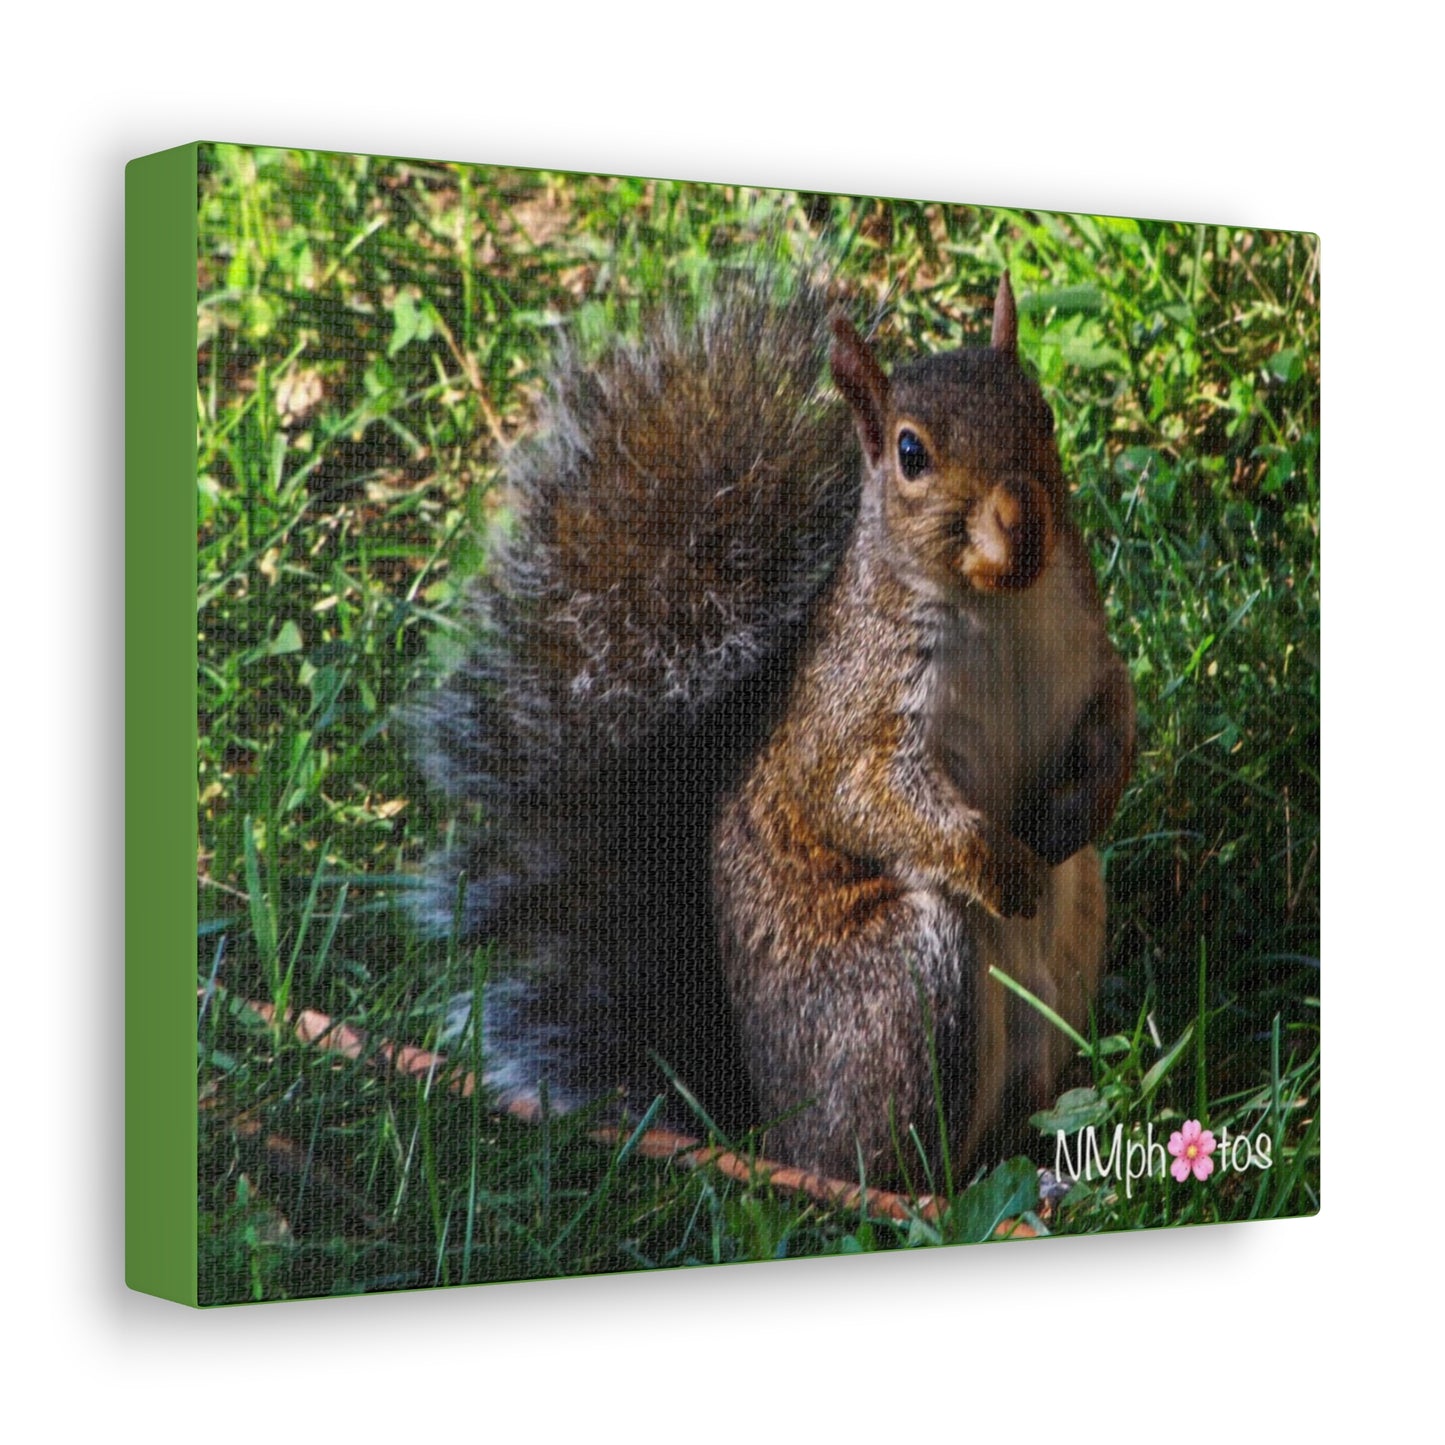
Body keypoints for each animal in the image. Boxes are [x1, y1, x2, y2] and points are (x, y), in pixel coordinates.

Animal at [414, 269, 1134, 1182]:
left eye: (1040, 411)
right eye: (910, 453)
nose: (1023, 518)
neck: (999, 606)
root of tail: (770, 1136)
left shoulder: (1086, 653)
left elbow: (1115, 723)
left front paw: (1081, 810)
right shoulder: (854, 719)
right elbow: (870, 802)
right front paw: (1003, 870)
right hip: (903, 983)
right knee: (896, 1165)